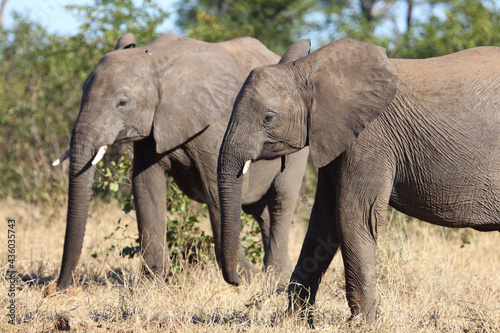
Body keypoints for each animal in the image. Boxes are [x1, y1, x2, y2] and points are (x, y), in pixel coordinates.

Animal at [49, 33, 308, 294]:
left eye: (122, 103)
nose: (55, 287)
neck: (154, 59)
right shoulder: (151, 129)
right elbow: (145, 188)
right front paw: (150, 284)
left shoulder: (213, 126)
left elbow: (215, 192)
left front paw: (245, 279)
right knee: (261, 212)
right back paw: (280, 276)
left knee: (281, 201)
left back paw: (274, 279)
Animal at [218, 37, 500, 322]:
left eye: (268, 118)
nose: (238, 281)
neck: (313, 70)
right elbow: (323, 219)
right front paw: (292, 321)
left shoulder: (369, 137)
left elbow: (353, 215)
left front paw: (361, 324)